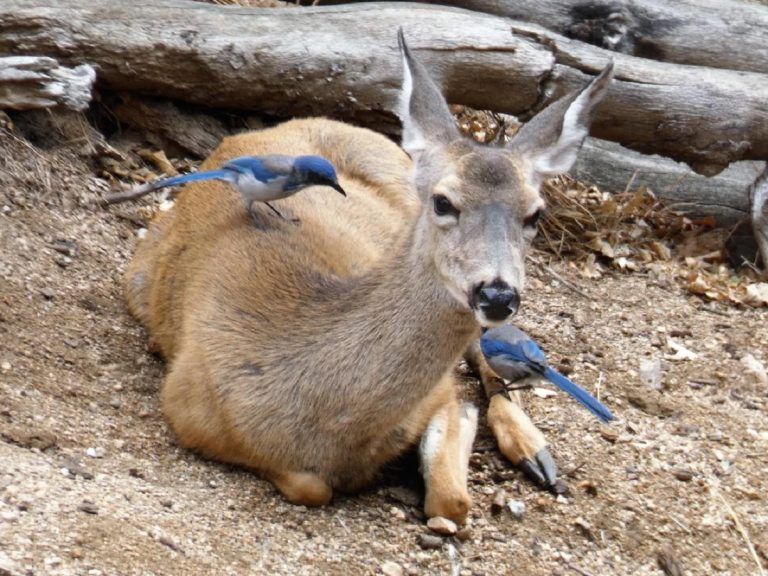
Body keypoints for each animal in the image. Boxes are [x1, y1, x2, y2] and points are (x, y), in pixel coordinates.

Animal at [124, 31, 613, 523]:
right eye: (442, 202)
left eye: (536, 213)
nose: (496, 293)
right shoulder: (186, 410)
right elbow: (310, 486)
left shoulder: (438, 391)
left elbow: (452, 500)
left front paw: (467, 422)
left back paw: (535, 452)